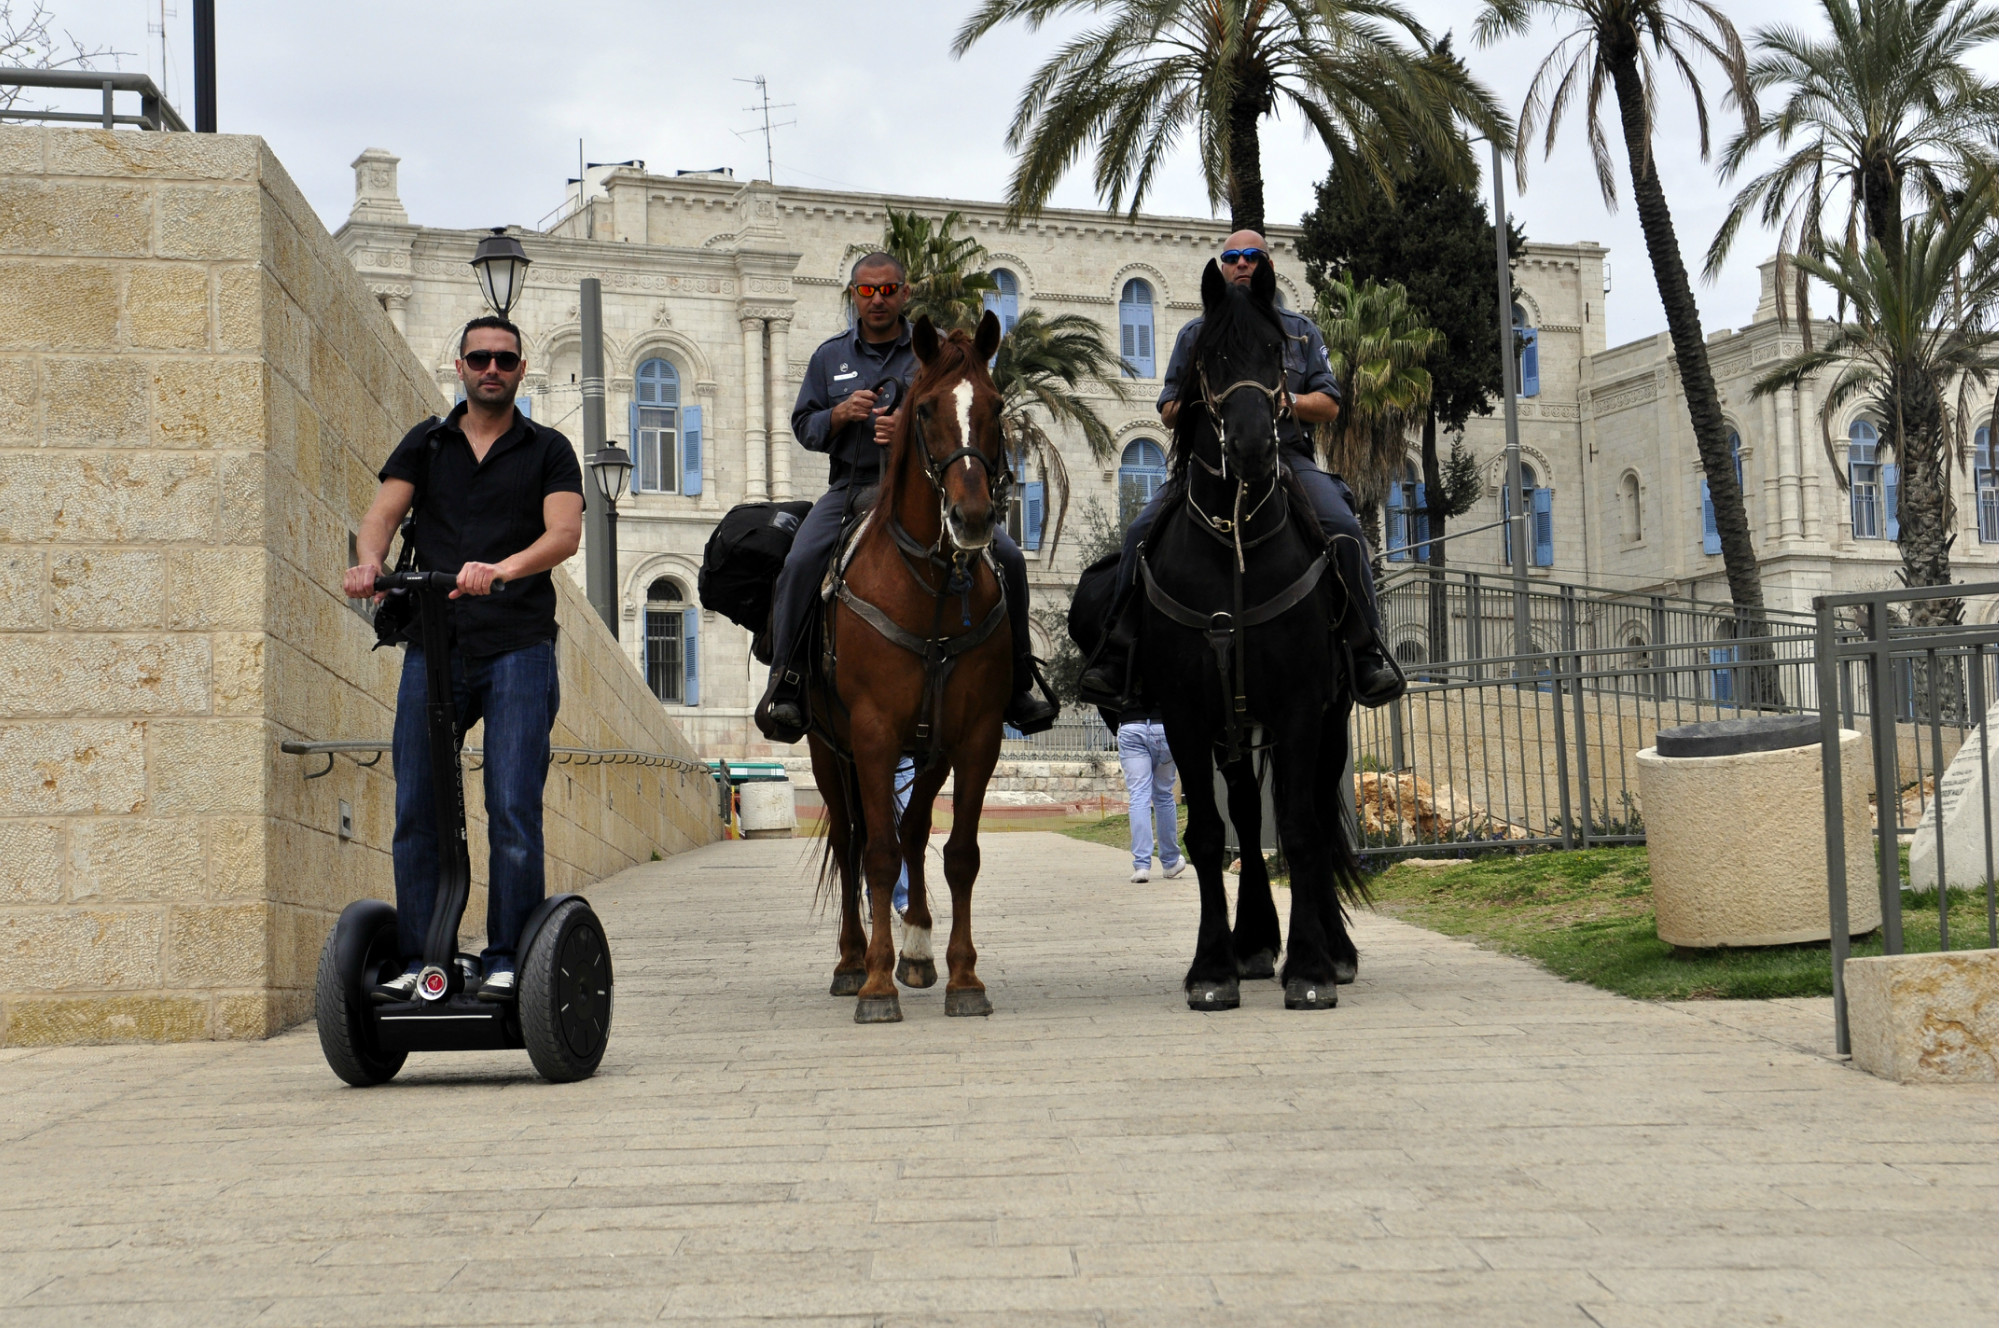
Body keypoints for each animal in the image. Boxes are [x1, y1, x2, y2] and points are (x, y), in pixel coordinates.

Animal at [803, 314, 1007, 1024]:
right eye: (925, 409)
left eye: (996, 406)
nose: (971, 518)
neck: (935, 589)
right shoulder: (870, 735)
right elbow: (877, 854)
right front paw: (875, 984)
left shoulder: (976, 737)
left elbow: (960, 854)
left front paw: (964, 976)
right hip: (826, 749)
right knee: (851, 840)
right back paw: (850, 960)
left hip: (932, 746)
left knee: (916, 830)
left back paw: (916, 950)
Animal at [1127, 256, 1359, 1008]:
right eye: (1210, 358)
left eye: (1274, 355)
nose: (1256, 447)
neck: (1233, 536)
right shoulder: (1186, 712)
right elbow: (1207, 834)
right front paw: (1212, 967)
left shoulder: (1300, 705)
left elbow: (1302, 827)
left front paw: (1312, 968)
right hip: (1235, 724)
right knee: (1248, 811)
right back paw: (1254, 940)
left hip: (1330, 716)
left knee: (1313, 811)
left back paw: (1333, 949)